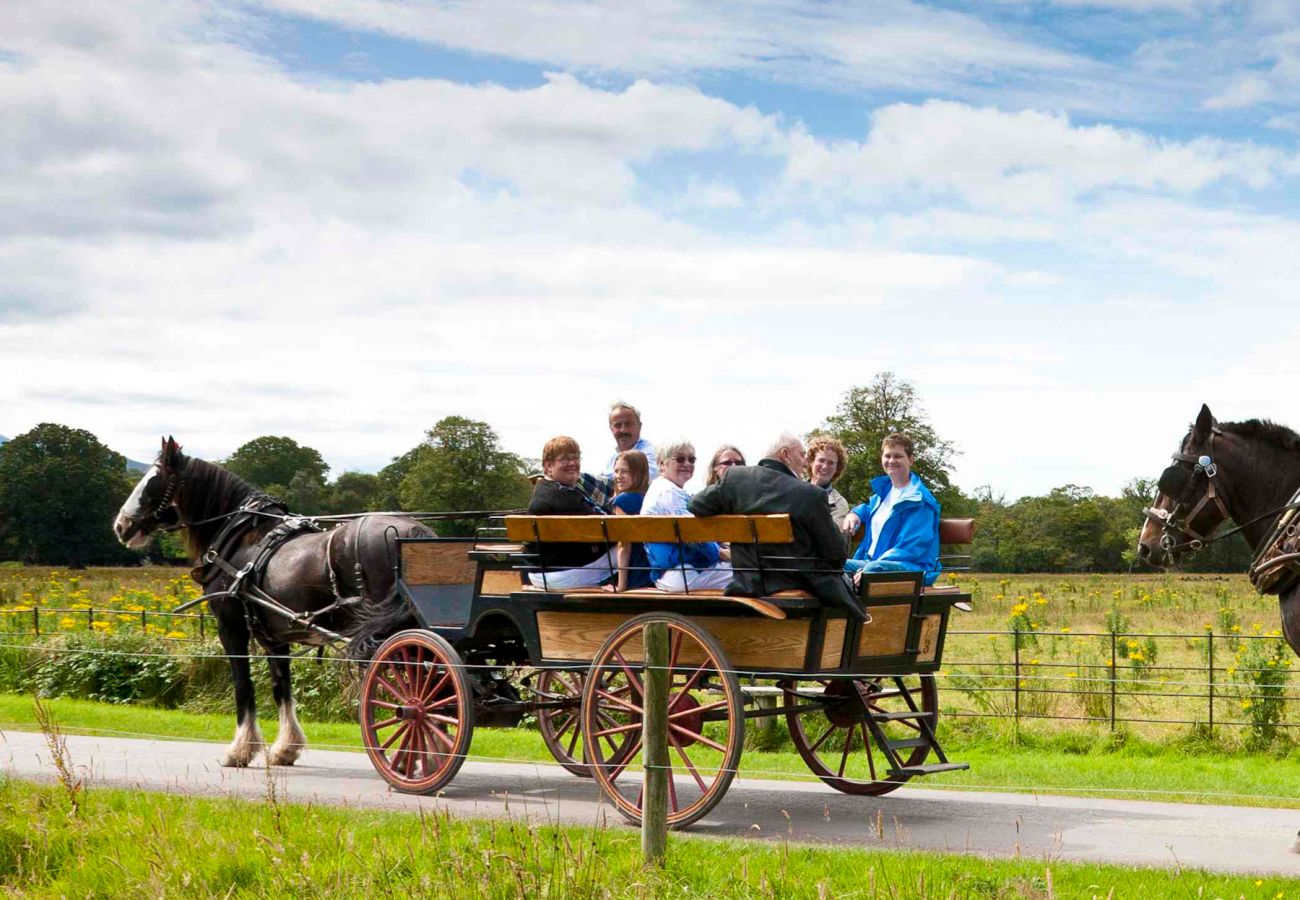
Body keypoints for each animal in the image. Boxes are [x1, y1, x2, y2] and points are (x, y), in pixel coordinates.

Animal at [116, 436, 431, 764]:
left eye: (152, 481)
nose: (121, 525)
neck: (240, 538)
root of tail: (412, 531)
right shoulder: (275, 636)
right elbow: (282, 687)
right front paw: (285, 747)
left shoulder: (231, 628)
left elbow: (243, 685)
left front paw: (241, 748)